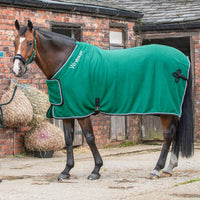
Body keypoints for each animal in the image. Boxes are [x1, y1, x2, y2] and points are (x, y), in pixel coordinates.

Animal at [11, 20, 193, 181]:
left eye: (29, 43)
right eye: (14, 42)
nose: (16, 69)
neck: (65, 62)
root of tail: (183, 58)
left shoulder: (81, 111)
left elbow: (90, 137)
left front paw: (96, 170)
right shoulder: (67, 111)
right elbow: (68, 140)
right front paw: (66, 171)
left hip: (166, 109)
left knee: (168, 135)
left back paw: (156, 169)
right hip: (171, 110)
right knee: (175, 132)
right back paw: (169, 168)